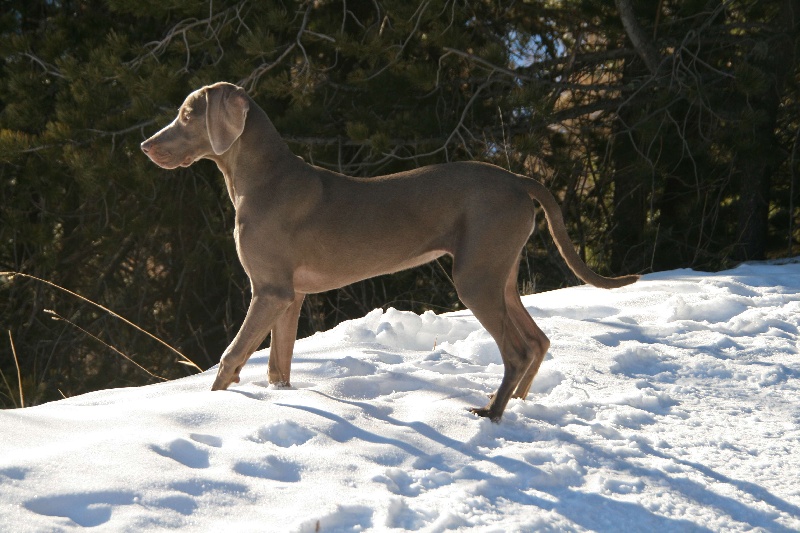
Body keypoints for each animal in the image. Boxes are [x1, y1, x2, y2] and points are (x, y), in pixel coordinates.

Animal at [139, 81, 636, 420]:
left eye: (188, 115)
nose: (145, 146)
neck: (261, 179)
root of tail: (517, 179)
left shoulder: (269, 291)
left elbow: (231, 356)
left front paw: (212, 408)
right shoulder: (290, 296)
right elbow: (279, 366)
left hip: (475, 278)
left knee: (516, 350)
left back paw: (490, 413)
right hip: (500, 273)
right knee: (537, 340)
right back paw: (514, 404)